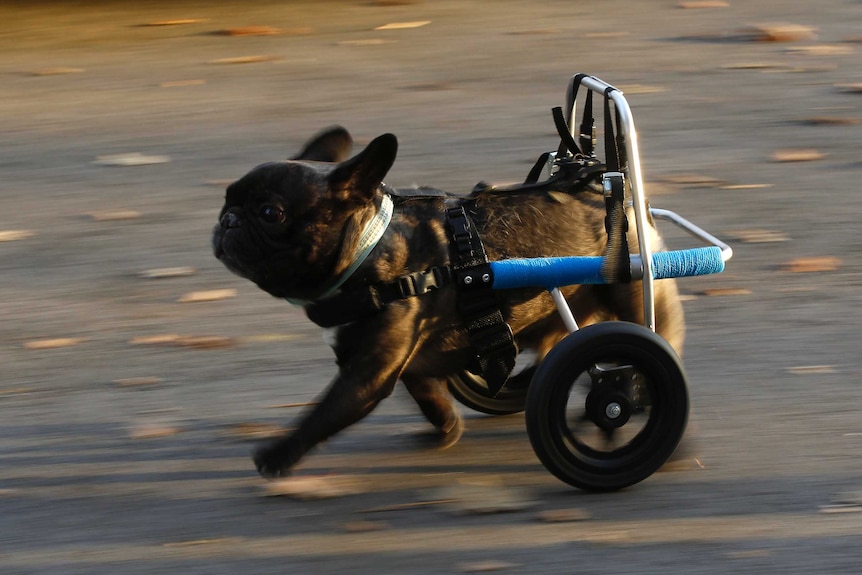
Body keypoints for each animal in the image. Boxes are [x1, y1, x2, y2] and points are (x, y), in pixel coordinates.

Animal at [213, 127, 684, 482]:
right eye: (227, 198)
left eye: (270, 213)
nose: (227, 220)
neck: (369, 247)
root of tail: (619, 195)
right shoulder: (397, 362)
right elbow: (425, 391)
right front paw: (446, 426)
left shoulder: (365, 375)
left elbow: (324, 413)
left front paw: (278, 454)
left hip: (634, 298)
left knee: (653, 348)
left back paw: (642, 400)